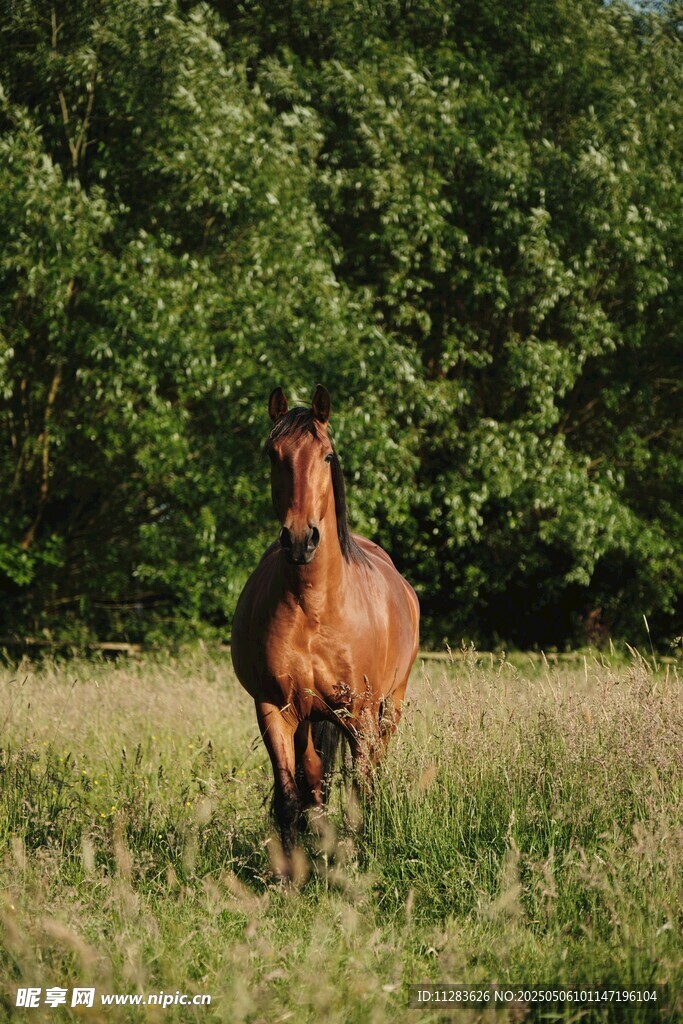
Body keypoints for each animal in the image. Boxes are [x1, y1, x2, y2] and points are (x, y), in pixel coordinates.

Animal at [231, 385, 419, 875]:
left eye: (328, 455)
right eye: (273, 453)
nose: (301, 539)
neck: (314, 606)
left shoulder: (360, 715)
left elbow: (360, 789)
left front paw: (353, 861)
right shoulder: (275, 710)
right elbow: (290, 797)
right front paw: (291, 876)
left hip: (389, 707)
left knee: (371, 771)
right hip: (310, 718)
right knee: (314, 779)